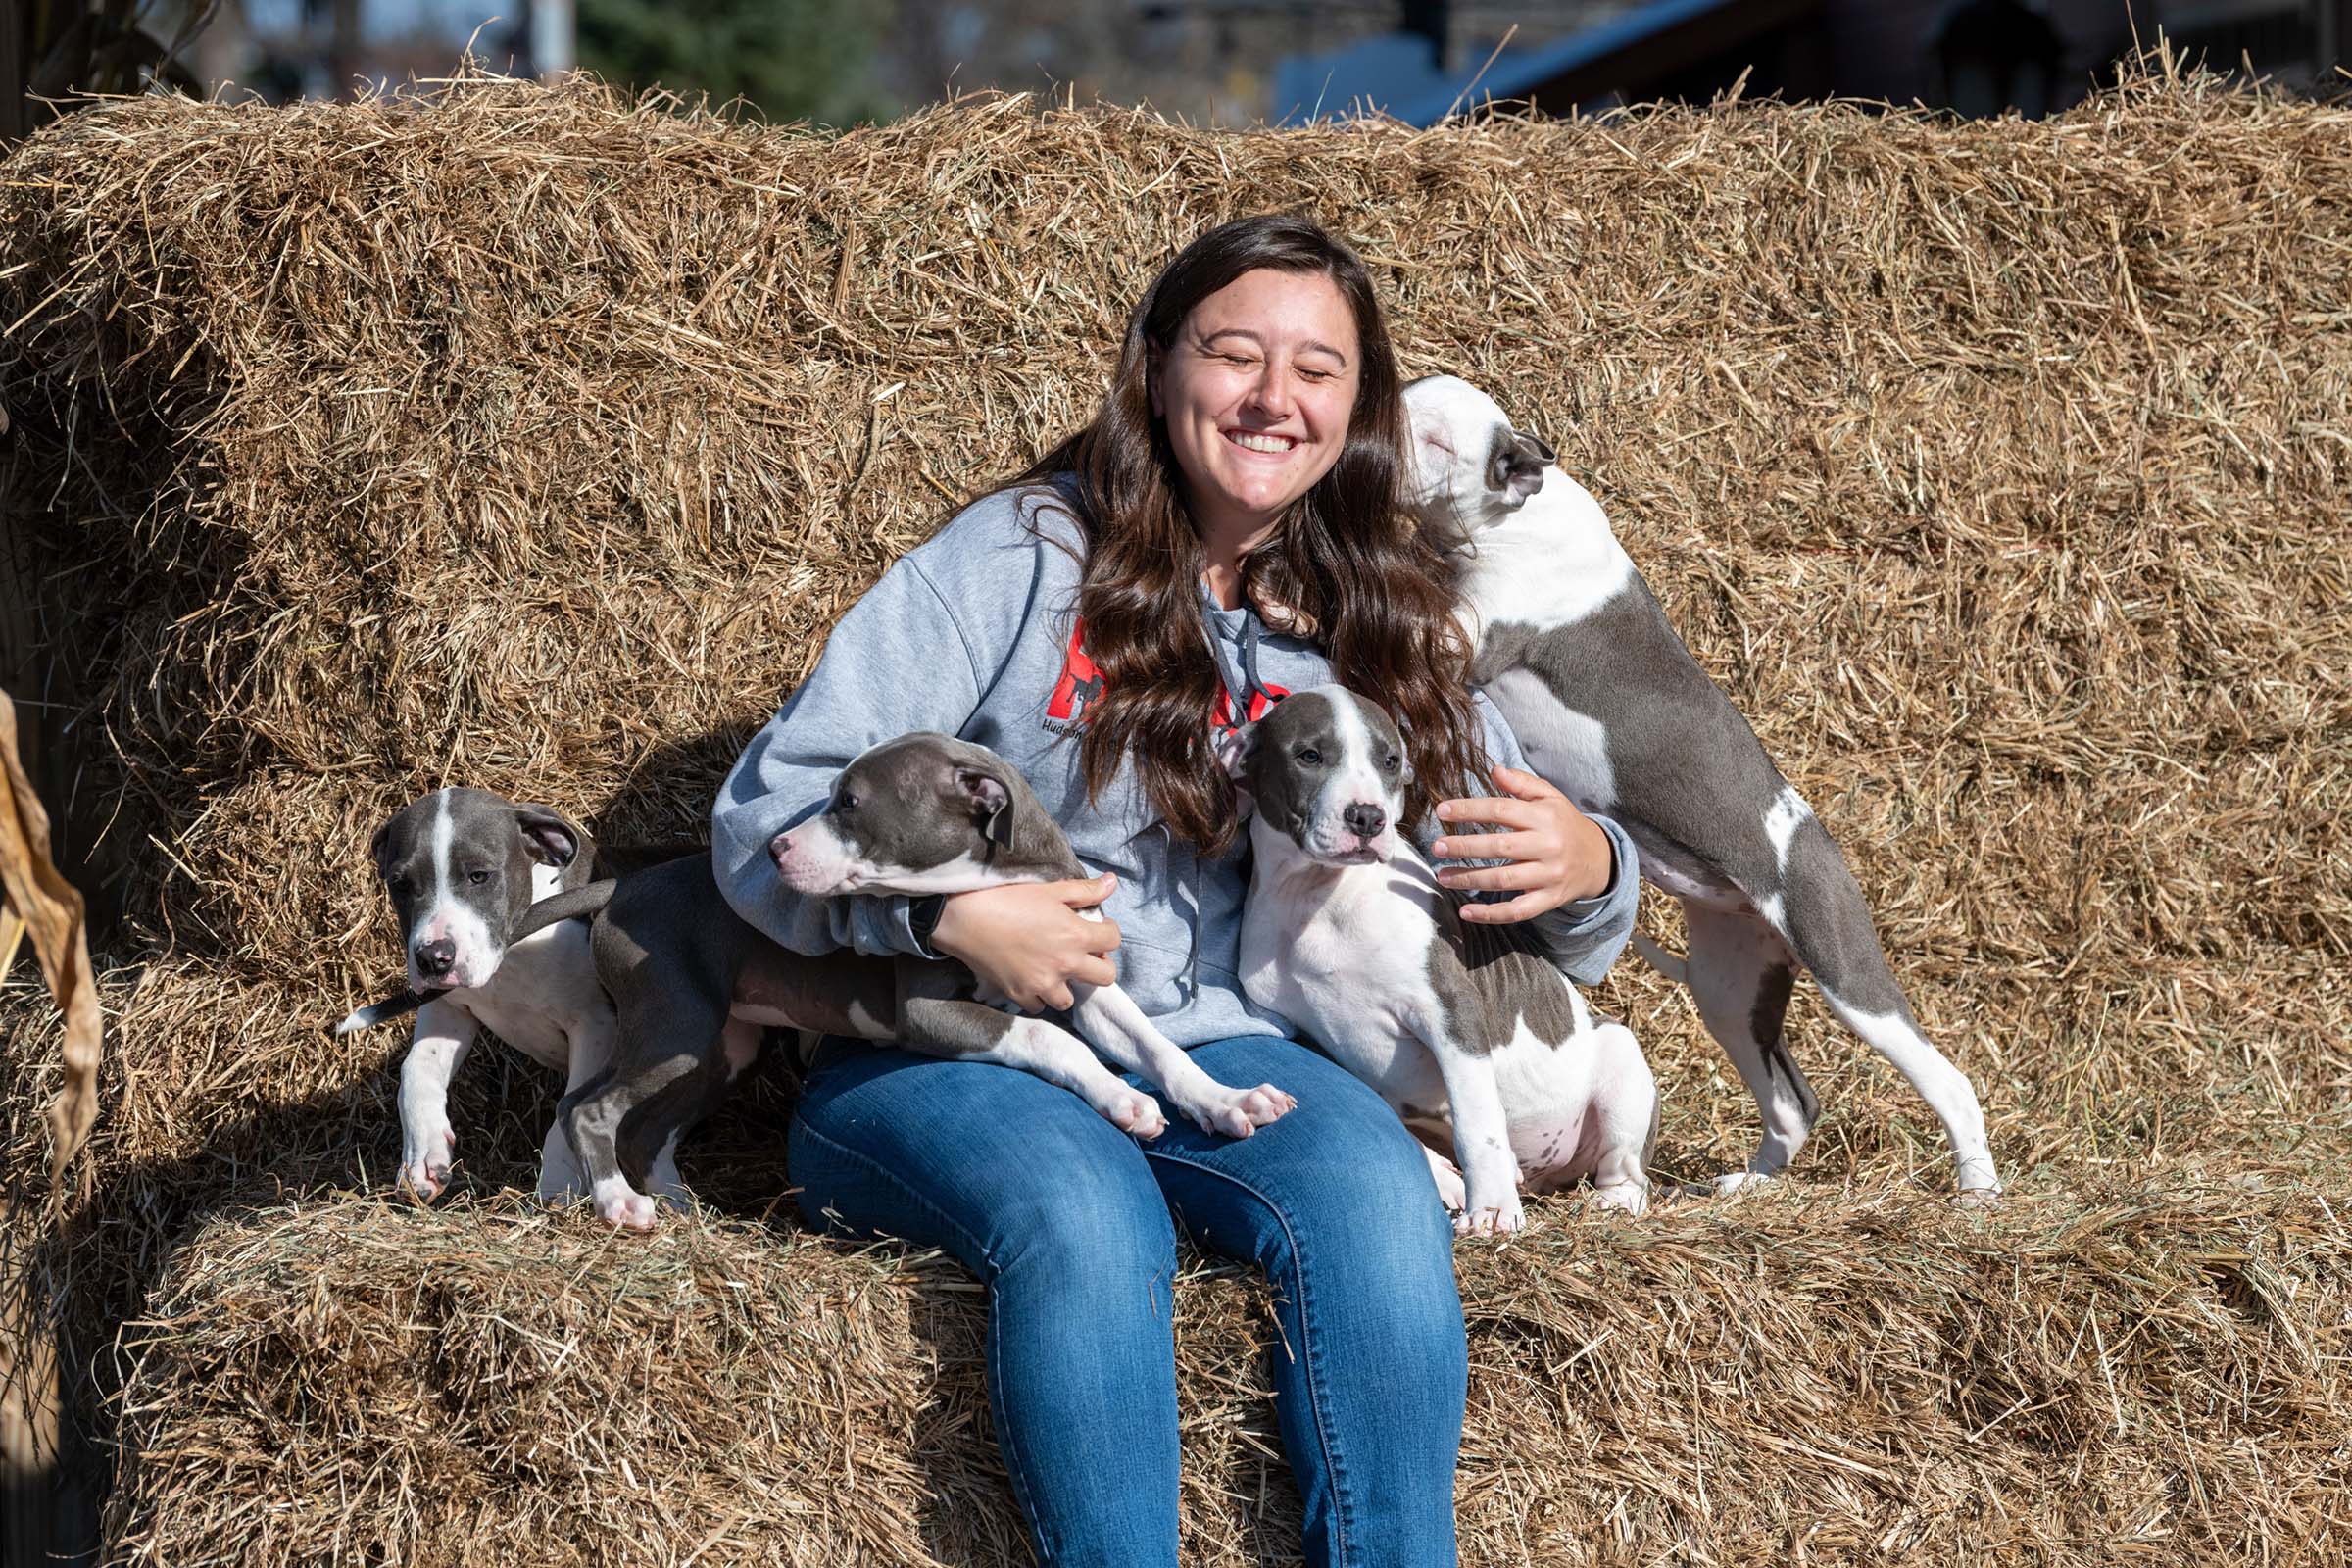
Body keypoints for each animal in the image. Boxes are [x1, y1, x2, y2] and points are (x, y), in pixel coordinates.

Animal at [343, 785, 625, 1203]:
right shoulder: (448, 1011)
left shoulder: (596, 1022)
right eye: (401, 884)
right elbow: (416, 1069)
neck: (513, 950)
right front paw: (423, 1156)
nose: (433, 959)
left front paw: (559, 1183)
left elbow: (571, 1101)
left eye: (479, 876)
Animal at [1232, 691, 1655, 1231]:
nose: (1367, 817)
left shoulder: (1450, 1011)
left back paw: (1611, 1203)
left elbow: (1477, 1122)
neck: (1317, 897)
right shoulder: (1305, 1032)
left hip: (1622, 1063)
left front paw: (1492, 1210)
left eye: (1390, 761)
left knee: (1627, 1172)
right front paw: (1444, 1176)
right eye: (1309, 755)